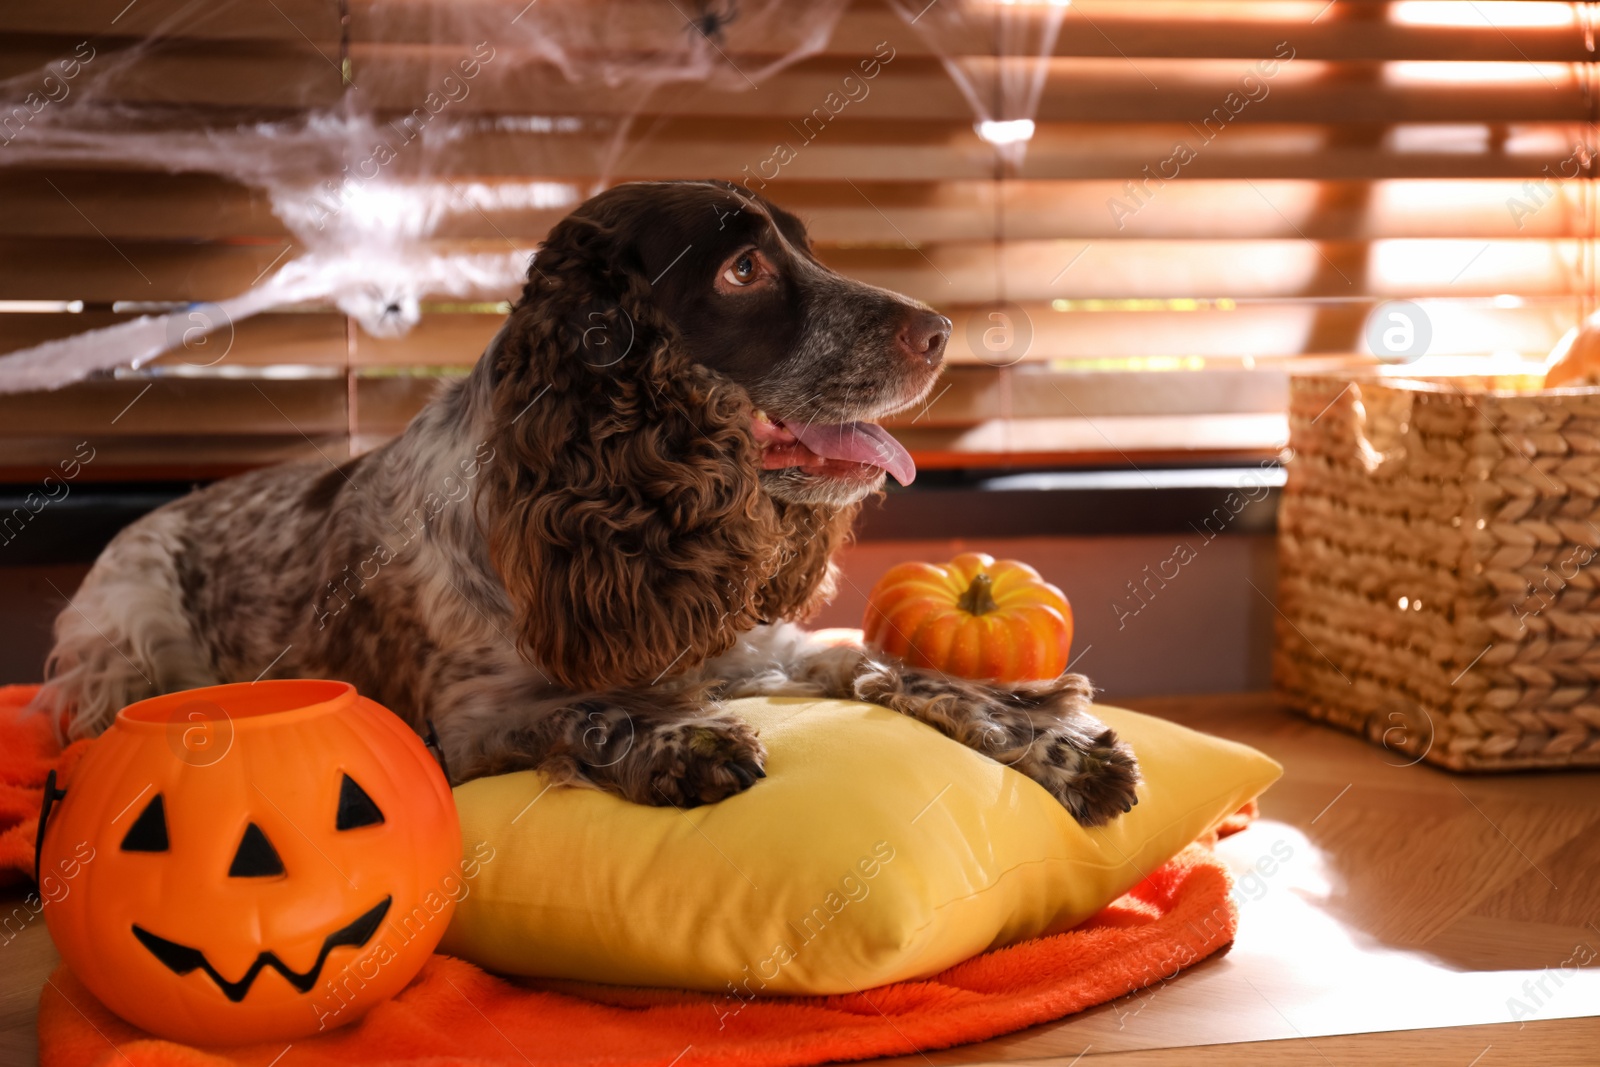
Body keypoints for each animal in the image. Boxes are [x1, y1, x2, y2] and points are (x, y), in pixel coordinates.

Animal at [34, 177, 1139, 825]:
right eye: (743, 268)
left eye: (807, 249)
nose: (943, 330)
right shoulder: (470, 721)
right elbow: (581, 713)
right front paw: (683, 743)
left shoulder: (750, 642)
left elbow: (891, 667)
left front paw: (1051, 735)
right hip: (126, 642)